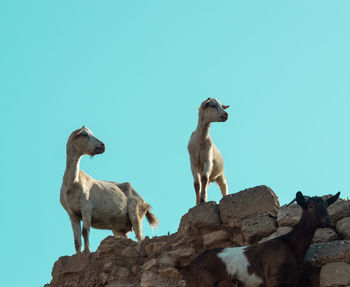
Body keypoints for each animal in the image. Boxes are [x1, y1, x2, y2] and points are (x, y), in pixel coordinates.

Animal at [60, 126, 159, 254]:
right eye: (84, 134)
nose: (102, 145)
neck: (72, 183)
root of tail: (145, 203)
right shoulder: (72, 214)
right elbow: (76, 240)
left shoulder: (86, 207)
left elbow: (85, 231)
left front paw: (88, 252)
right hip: (119, 227)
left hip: (135, 212)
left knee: (139, 235)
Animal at [168, 191, 340, 287]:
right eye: (310, 206)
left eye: (327, 205)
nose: (328, 220)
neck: (290, 245)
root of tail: (189, 266)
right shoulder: (273, 280)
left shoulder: (292, 281)